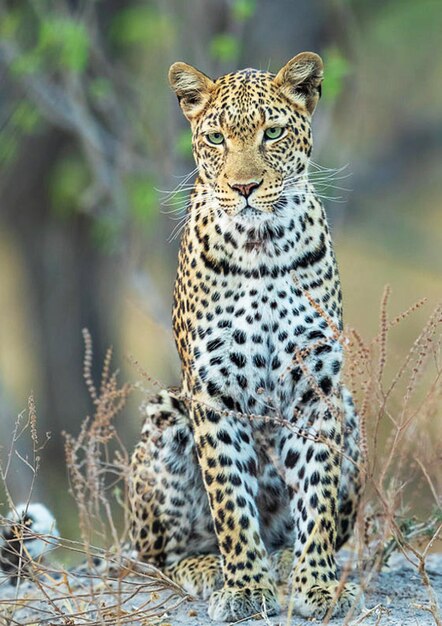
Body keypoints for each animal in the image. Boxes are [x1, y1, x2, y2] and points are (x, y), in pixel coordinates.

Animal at [128, 53, 362, 620]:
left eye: (271, 133)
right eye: (216, 139)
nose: (244, 188)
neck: (262, 245)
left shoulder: (317, 388)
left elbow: (318, 496)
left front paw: (317, 586)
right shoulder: (212, 392)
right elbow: (230, 500)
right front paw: (246, 590)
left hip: (351, 409)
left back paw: (284, 562)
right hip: (166, 414)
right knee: (159, 557)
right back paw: (210, 570)